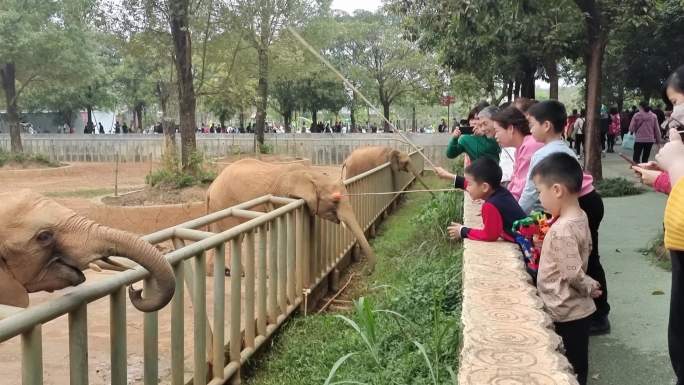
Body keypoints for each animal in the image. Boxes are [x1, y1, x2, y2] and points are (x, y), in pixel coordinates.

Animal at [207, 158, 376, 272]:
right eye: (335, 200)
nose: (369, 271)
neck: (312, 175)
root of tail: (211, 187)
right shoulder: (285, 195)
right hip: (225, 203)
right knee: (235, 235)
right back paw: (239, 272)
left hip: (218, 206)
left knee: (216, 233)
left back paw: (214, 271)